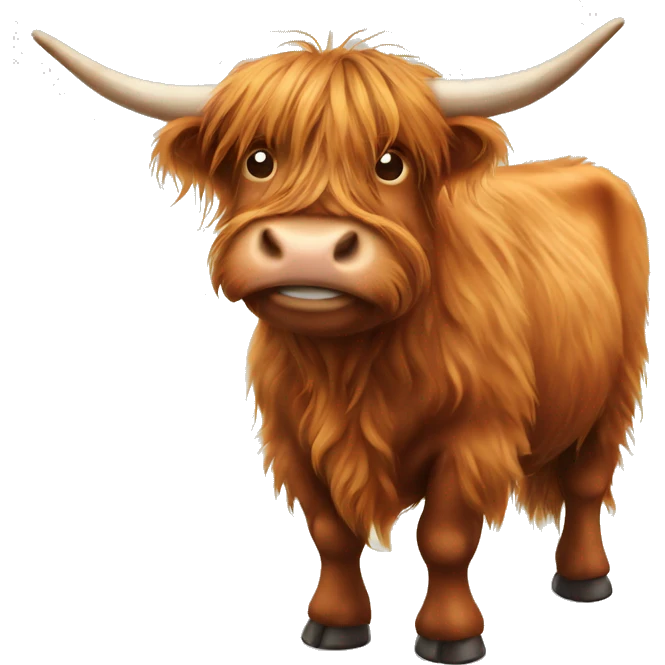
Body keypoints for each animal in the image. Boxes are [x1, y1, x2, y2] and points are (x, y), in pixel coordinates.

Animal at [32, 20, 648, 664]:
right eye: (258, 160)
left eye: (391, 163)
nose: (309, 248)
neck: (351, 365)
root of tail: (577, 166)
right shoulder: (293, 436)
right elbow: (331, 533)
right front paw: (333, 625)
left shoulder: (473, 436)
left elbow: (445, 537)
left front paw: (451, 635)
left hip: (615, 390)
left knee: (587, 482)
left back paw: (584, 579)